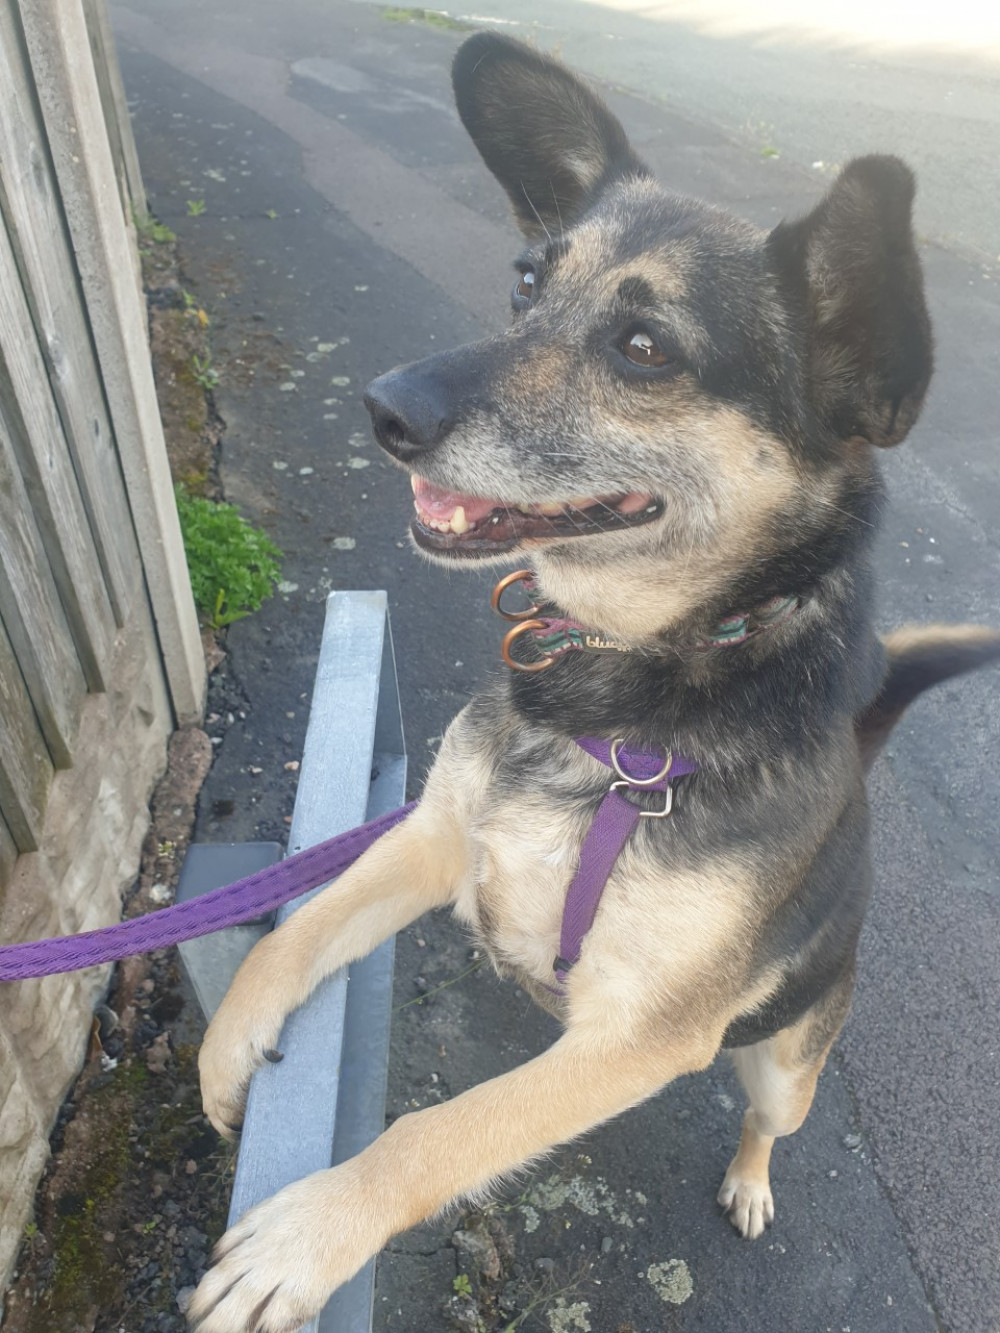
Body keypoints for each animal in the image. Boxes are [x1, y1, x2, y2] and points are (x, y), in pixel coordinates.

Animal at [189, 31, 1000, 1333]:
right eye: (525, 284)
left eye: (644, 348)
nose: (381, 409)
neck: (627, 692)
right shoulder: (432, 839)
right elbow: (291, 932)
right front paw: (228, 1048)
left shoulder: (641, 1039)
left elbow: (440, 1130)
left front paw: (306, 1234)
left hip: (785, 1062)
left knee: (766, 1118)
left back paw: (749, 1177)